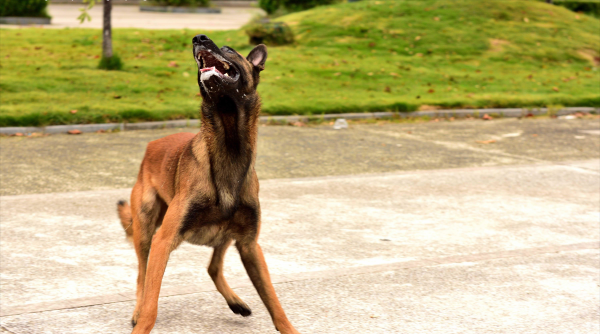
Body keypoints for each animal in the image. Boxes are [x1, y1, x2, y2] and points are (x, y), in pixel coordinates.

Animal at [118, 34, 300, 334]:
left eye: (229, 49)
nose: (198, 38)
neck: (228, 146)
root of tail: (152, 145)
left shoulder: (250, 245)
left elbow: (274, 303)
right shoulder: (163, 241)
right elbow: (151, 306)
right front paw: (141, 320)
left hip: (225, 234)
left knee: (213, 267)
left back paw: (235, 301)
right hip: (145, 230)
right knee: (142, 277)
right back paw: (135, 309)